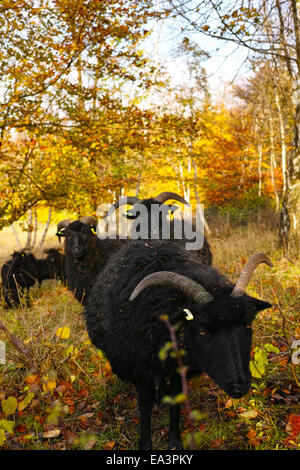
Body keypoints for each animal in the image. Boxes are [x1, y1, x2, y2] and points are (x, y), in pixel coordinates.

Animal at [83, 241, 274, 450]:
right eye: (202, 331)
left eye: (248, 325)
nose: (240, 386)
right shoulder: (139, 370)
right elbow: (145, 405)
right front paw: (145, 444)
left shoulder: (178, 369)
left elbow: (176, 400)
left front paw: (175, 441)